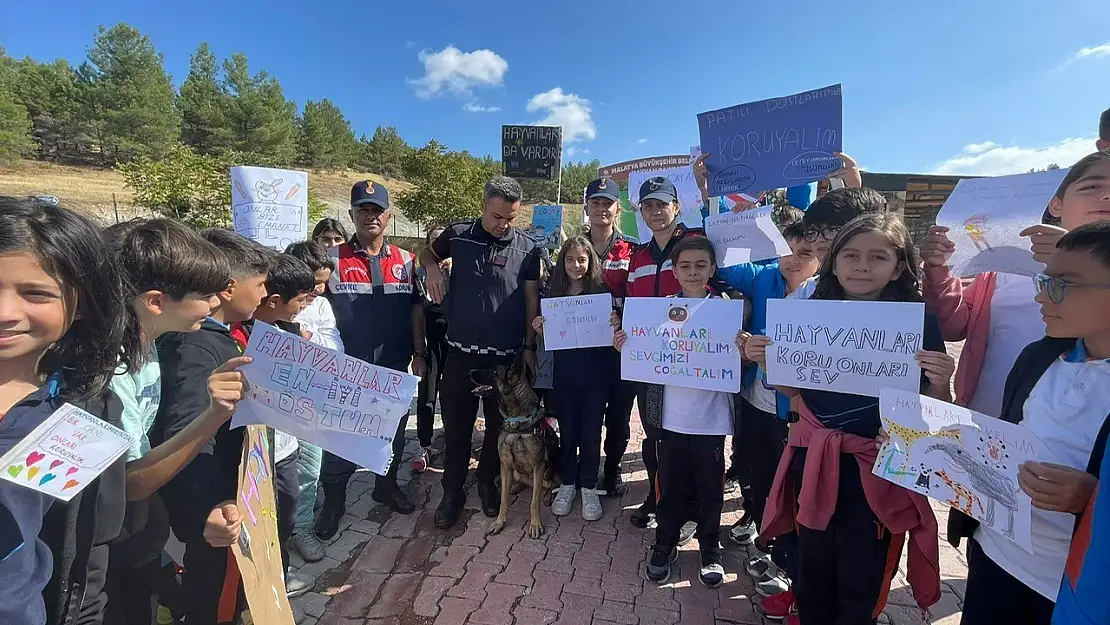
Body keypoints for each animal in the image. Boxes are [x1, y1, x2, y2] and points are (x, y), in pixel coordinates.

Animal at [468, 359, 559, 539]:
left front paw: (535, 524)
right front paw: (499, 522)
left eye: (493, 372)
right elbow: (503, 500)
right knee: (524, 482)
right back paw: (516, 486)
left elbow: (534, 501)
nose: (470, 371)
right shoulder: (505, 465)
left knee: (552, 484)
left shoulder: (538, 466)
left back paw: (548, 495)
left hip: (551, 466)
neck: (516, 420)